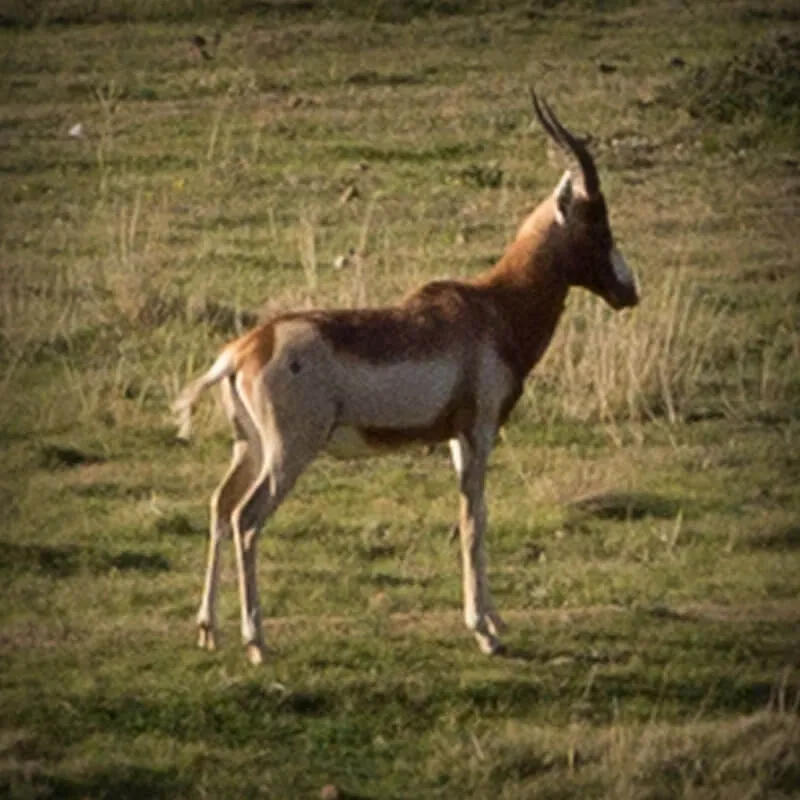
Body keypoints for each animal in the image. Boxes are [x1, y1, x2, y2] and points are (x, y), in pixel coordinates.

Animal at [173, 90, 636, 664]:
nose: (629, 291)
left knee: (219, 506)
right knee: (247, 518)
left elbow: (474, 514)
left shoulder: (456, 437)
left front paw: (493, 620)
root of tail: (243, 351)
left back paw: (208, 630)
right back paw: (256, 641)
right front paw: (485, 632)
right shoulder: (480, 431)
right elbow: (474, 518)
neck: (490, 306)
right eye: (598, 225)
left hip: (249, 447)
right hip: (288, 455)